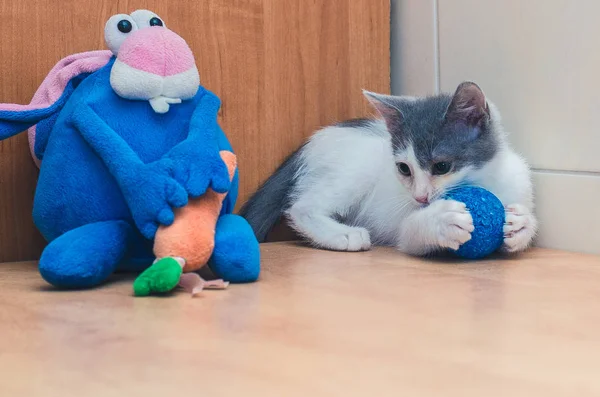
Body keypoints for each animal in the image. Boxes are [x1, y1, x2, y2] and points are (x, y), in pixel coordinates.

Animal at [240, 82, 540, 255]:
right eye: (404, 169)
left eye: (441, 166)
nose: (420, 197)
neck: (485, 179)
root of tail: (310, 142)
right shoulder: (401, 224)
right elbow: (411, 232)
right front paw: (441, 220)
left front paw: (522, 224)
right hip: (355, 167)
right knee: (301, 207)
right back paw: (343, 234)